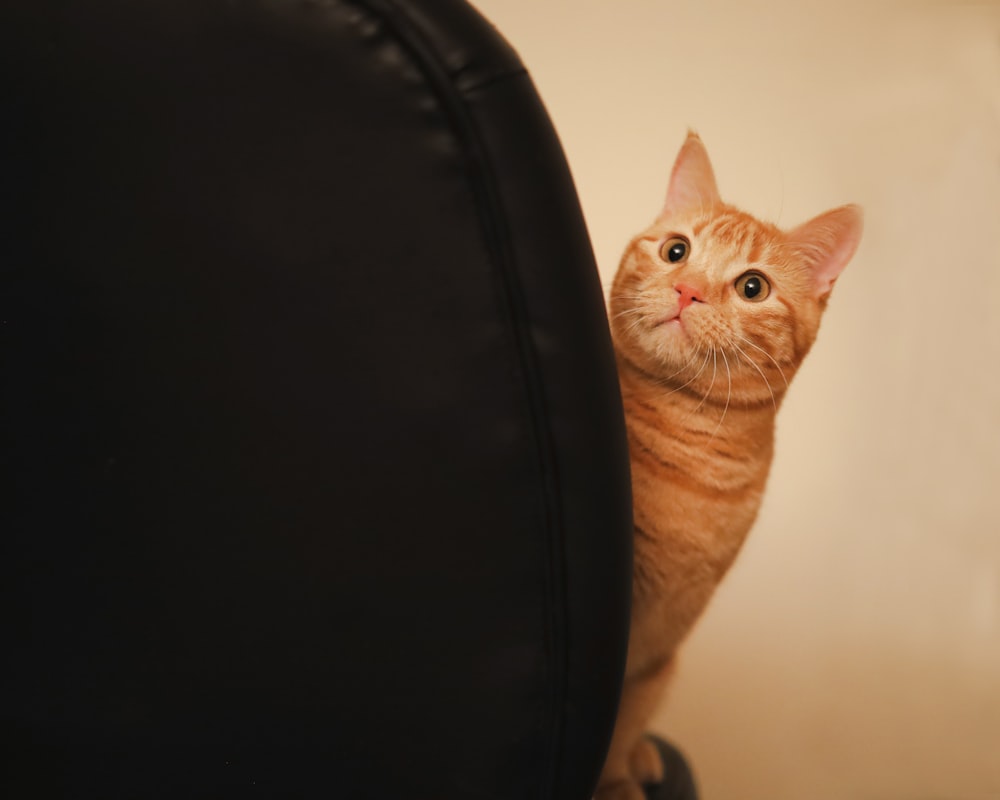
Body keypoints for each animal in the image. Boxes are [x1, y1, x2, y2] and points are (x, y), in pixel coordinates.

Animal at [596, 133, 864, 800]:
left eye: (752, 288)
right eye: (676, 251)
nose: (688, 289)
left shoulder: (657, 650)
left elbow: (627, 715)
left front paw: (617, 776)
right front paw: (609, 785)